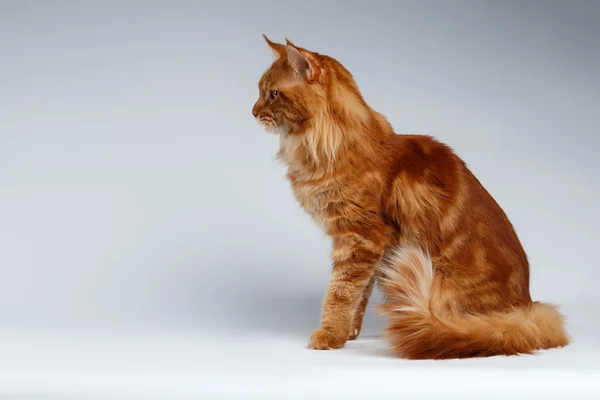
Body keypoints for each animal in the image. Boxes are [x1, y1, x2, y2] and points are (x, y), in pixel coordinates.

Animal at [251, 35, 568, 360]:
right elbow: (359, 294)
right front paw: (350, 332)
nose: (252, 111)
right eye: (261, 92)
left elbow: (340, 292)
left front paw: (330, 334)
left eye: (273, 94)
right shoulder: (372, 248)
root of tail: (525, 311)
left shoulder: (360, 236)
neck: (330, 144)